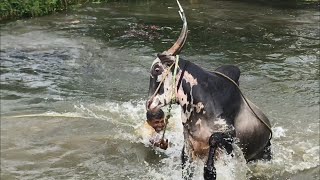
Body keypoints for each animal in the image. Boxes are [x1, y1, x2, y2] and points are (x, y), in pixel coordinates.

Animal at [145, 0, 272, 179]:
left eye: (157, 69)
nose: (149, 103)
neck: (202, 102)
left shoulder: (229, 138)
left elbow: (213, 141)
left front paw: (210, 170)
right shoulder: (189, 144)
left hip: (264, 153)